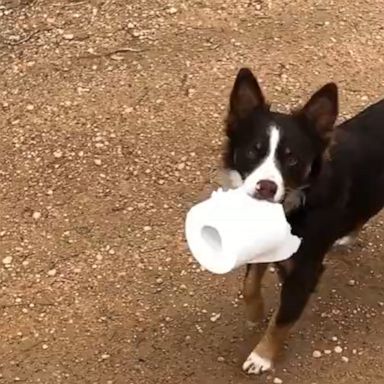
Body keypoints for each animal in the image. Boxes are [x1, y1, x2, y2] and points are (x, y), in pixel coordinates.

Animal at [220, 67, 384, 374]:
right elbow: (249, 286)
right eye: (253, 150)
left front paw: (262, 356)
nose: (266, 187)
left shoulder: (305, 273)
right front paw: (256, 313)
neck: (297, 203)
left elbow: (282, 320)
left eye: (292, 159)